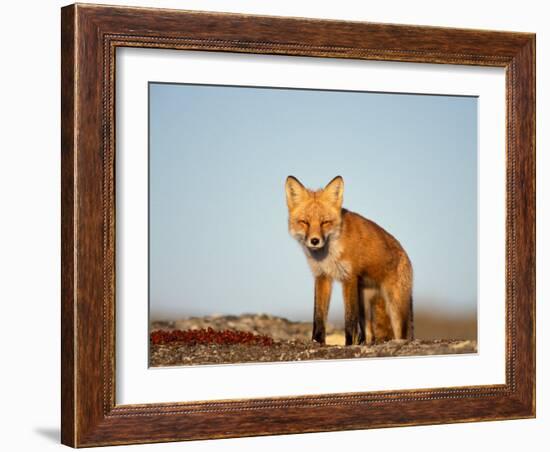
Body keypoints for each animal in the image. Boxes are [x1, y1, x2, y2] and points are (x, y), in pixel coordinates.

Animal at [288, 175, 414, 344]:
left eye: (325, 222)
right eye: (304, 222)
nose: (315, 241)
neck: (329, 254)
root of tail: (405, 254)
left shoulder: (349, 277)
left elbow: (349, 319)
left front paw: (348, 344)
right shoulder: (322, 276)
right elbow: (318, 317)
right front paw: (317, 341)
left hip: (396, 308)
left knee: (401, 334)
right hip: (365, 308)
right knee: (368, 335)